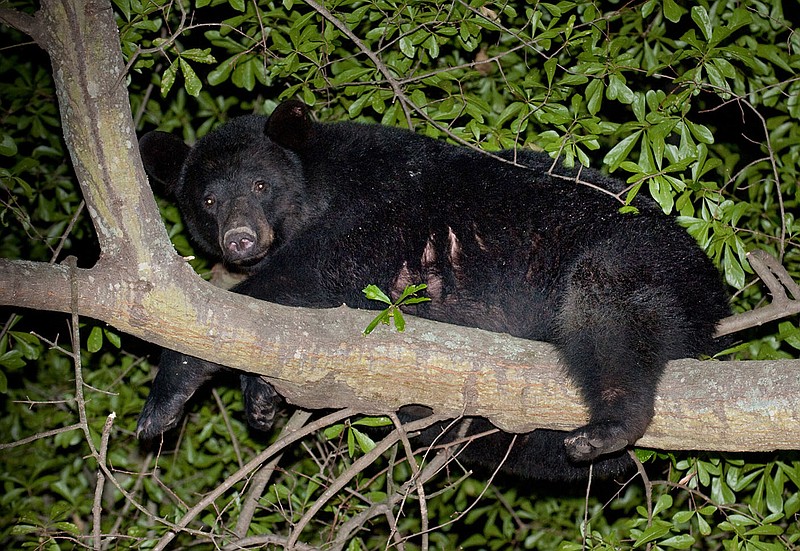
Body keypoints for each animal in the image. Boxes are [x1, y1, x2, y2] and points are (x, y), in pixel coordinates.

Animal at [139, 101, 732, 480]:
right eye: (209, 200)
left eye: (261, 185)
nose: (239, 239)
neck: (320, 183)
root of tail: (716, 301)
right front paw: (260, 397)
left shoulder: (377, 210)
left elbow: (300, 281)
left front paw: (165, 396)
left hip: (649, 255)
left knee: (608, 305)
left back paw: (611, 424)